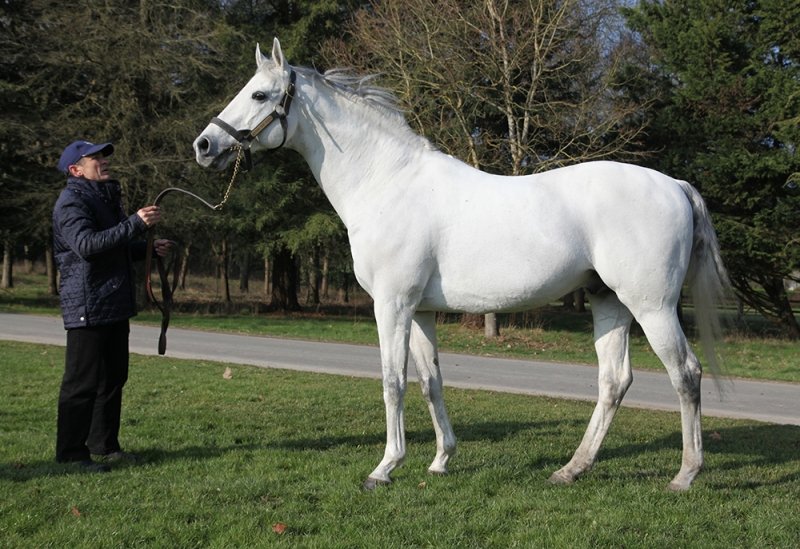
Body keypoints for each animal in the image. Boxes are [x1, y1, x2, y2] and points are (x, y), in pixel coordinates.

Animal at [193, 38, 729, 491]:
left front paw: (384, 468)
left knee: (686, 374)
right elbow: (430, 382)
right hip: (609, 302)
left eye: (260, 94)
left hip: (651, 306)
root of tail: (674, 185)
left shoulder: (392, 305)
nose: (204, 145)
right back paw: (570, 470)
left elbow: (392, 382)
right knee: (614, 381)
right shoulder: (422, 311)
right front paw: (440, 460)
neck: (386, 183)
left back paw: (685, 475)